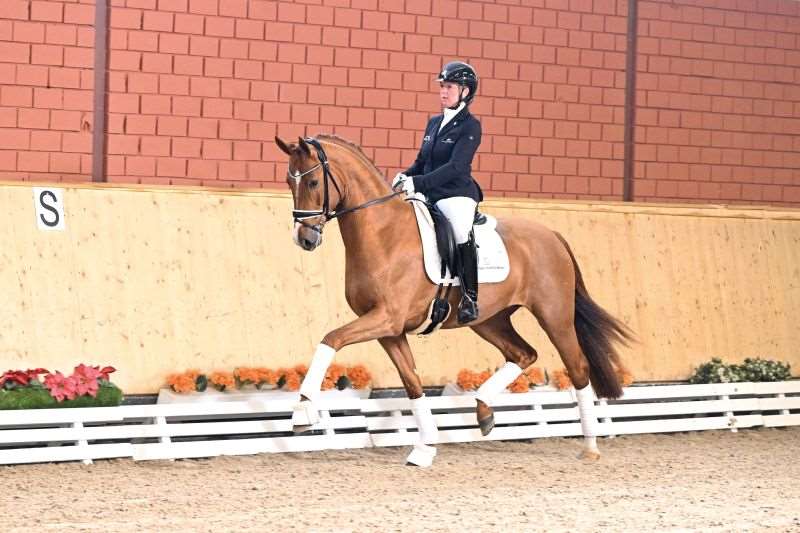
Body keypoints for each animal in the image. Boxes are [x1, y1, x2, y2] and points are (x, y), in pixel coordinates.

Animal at [274, 134, 633, 467]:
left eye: (312, 181)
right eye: (289, 181)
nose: (304, 239)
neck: (384, 234)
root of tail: (553, 236)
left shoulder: (386, 318)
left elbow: (330, 339)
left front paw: (303, 412)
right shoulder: (390, 330)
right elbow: (412, 383)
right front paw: (425, 448)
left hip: (554, 316)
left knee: (577, 368)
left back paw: (590, 446)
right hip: (489, 320)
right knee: (524, 353)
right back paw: (484, 412)